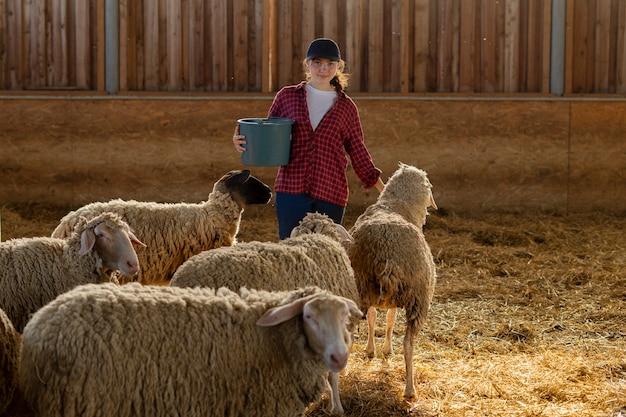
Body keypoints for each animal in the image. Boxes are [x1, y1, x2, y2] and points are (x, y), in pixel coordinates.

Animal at [344, 162, 436, 396]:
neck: (394, 205)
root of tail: (387, 255)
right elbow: (389, 319)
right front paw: (383, 350)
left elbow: (376, 318)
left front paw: (372, 350)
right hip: (419, 299)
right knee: (408, 344)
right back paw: (410, 390)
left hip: (358, 291)